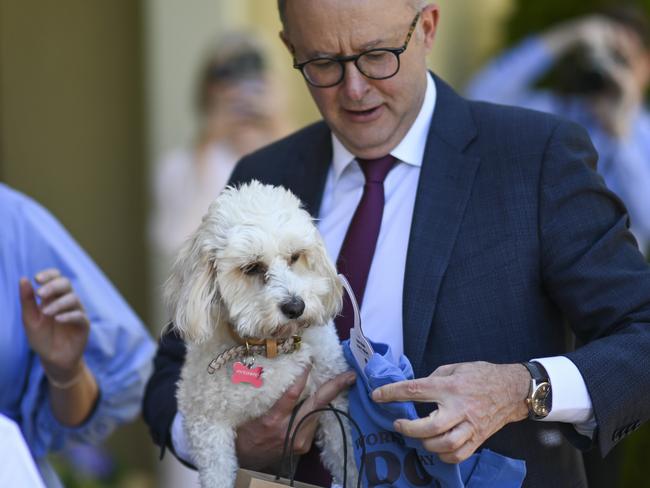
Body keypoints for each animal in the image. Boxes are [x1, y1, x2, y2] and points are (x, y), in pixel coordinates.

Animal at [162, 181, 354, 486]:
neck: (270, 346)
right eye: (252, 267)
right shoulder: (208, 425)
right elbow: (218, 474)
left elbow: (349, 461)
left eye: (295, 257)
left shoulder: (334, 405)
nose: (295, 307)